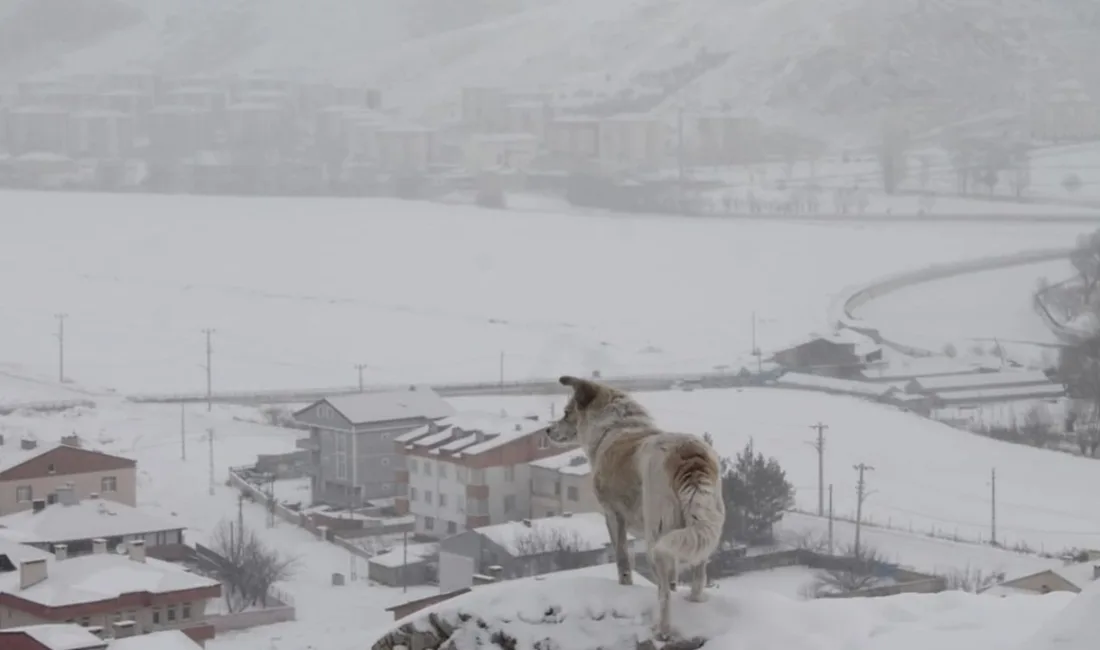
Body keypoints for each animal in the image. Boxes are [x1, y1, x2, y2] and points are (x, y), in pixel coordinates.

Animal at [545, 376, 726, 642]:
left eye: (567, 413)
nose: (547, 431)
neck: (615, 427)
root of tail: (689, 455)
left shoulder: (613, 516)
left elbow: (622, 559)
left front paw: (624, 587)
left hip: (656, 537)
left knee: (664, 594)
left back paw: (662, 630)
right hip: (702, 530)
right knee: (697, 577)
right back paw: (694, 604)